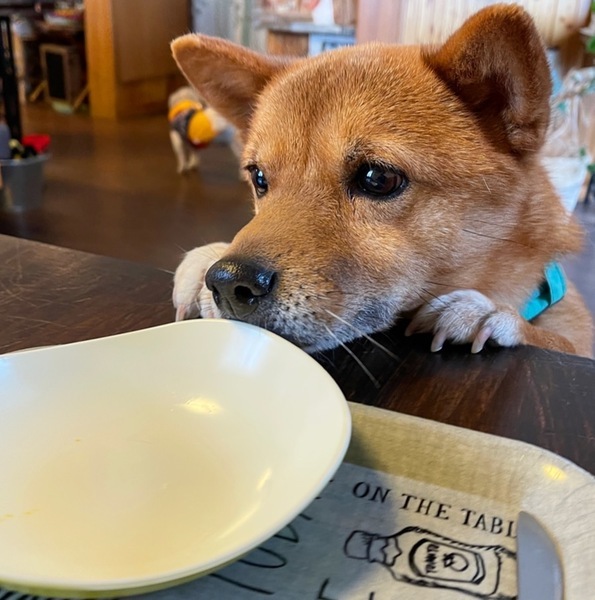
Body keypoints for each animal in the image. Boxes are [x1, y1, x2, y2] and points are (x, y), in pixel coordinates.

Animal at [170, 5, 593, 358]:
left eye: (378, 178)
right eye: (259, 178)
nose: (227, 282)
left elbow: (554, 340)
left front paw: (493, 314)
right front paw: (206, 260)